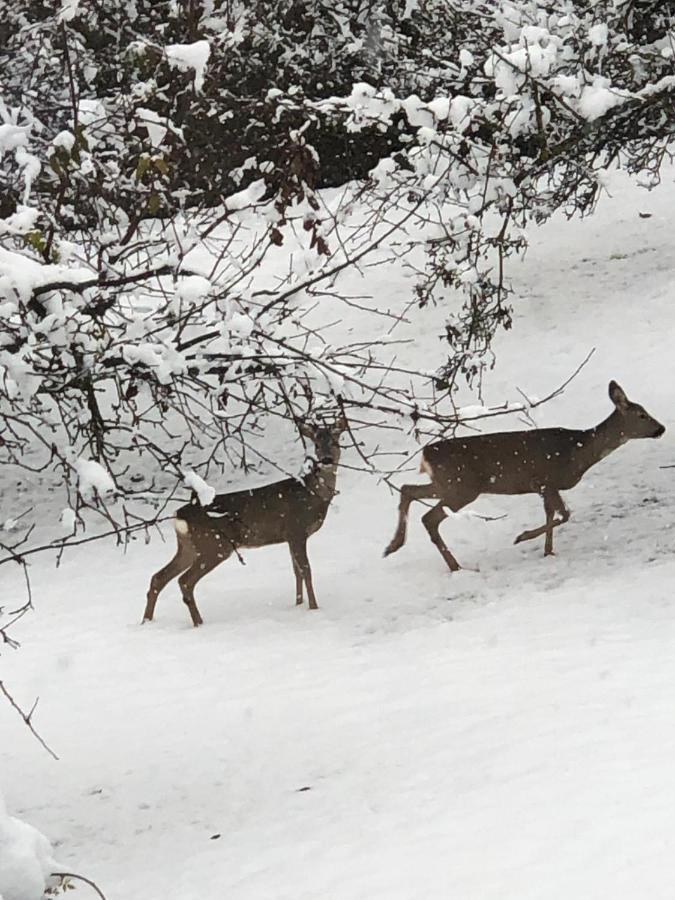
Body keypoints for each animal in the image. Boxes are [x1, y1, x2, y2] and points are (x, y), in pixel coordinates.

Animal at [146, 414, 352, 624]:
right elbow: (306, 570)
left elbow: (296, 572)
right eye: (316, 444)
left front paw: (298, 605)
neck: (312, 495)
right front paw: (313, 608)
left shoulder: (289, 537)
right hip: (214, 545)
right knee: (185, 581)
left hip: (189, 545)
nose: (326, 459)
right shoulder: (296, 530)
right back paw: (198, 622)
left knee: (158, 577)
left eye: (335, 441)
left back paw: (146, 621)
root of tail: (179, 515)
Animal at [386, 382, 664, 568]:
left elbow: (552, 513)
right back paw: (454, 565)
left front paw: (548, 551)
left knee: (408, 489)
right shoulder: (545, 480)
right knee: (429, 517)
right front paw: (522, 537)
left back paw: (394, 545)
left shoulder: (544, 487)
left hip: (445, 485)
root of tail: (426, 453)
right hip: (462, 488)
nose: (661, 428)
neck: (579, 452)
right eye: (642, 415)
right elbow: (564, 514)